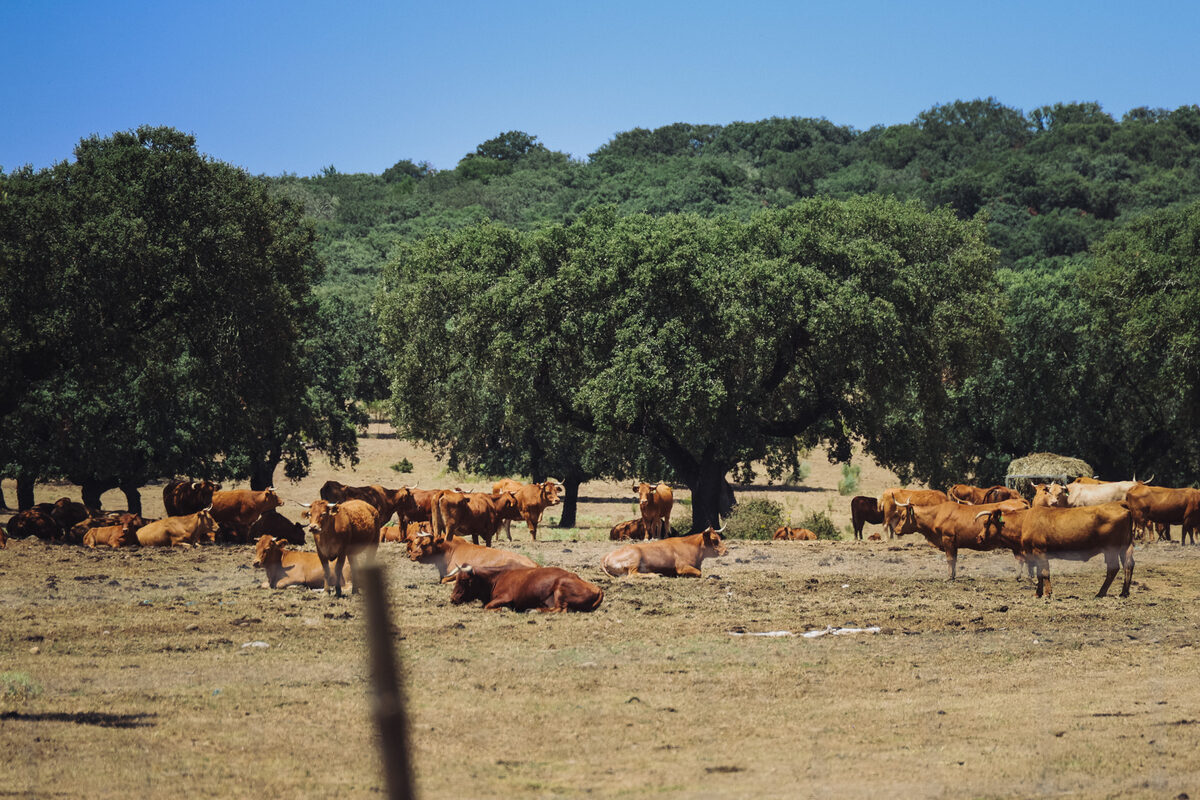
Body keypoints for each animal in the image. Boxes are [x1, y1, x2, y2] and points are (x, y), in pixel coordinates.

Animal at [442, 564, 604, 612]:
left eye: (465, 580)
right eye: (456, 579)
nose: (452, 598)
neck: (496, 578)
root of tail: (597, 588)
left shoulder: (505, 597)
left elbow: (488, 606)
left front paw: (503, 609)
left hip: (560, 589)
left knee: (559, 609)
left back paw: (533, 610)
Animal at [892, 498, 1032, 580]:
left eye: (903, 516)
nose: (896, 530)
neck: (936, 515)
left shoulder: (947, 540)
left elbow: (949, 559)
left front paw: (949, 577)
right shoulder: (953, 544)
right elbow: (954, 560)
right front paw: (953, 575)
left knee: (1022, 559)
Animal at [974, 502, 1135, 598]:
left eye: (986, 523)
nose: (979, 537)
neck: (1024, 521)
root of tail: (1120, 504)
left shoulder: (1040, 551)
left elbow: (1045, 573)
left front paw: (1047, 593)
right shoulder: (1034, 554)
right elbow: (1039, 574)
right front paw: (1037, 594)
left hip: (1111, 549)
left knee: (1113, 569)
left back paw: (1100, 593)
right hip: (1125, 548)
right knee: (1128, 565)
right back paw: (1124, 592)